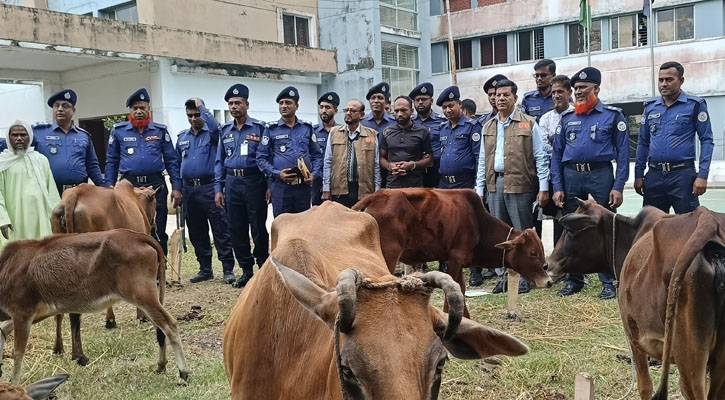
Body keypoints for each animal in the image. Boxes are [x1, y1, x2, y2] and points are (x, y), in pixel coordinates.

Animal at [0, 230, 189, 386]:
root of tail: (137, 236)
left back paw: (183, 373)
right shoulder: (36, 313)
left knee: (169, 325)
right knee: (160, 328)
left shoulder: (22, 312)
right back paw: (161, 365)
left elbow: (18, 351)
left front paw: (13, 383)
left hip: (143, 296)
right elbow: (3, 332)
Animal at [354, 188, 552, 316]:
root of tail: (376, 196)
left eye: (541, 250)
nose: (548, 281)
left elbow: (461, 289)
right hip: (387, 255)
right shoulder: (455, 259)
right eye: (533, 253)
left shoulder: (460, 261)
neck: (478, 223)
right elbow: (452, 291)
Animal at [548, 198, 724, 398]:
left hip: (690, 364)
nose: (548, 264)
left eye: (570, 231)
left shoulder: (634, 336)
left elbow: (644, 386)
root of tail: (708, 221)